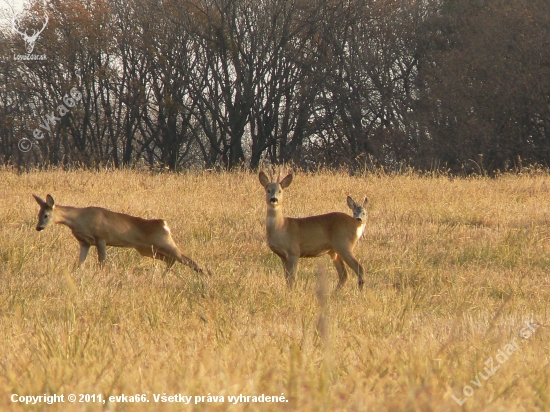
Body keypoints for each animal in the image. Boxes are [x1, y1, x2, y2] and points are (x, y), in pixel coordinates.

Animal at [33, 194, 205, 274]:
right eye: (38, 214)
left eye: (46, 215)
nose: (38, 227)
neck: (79, 220)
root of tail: (164, 225)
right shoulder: (85, 242)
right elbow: (80, 263)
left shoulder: (101, 237)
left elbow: (102, 262)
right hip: (147, 249)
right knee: (172, 260)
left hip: (164, 243)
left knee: (188, 260)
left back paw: (205, 276)